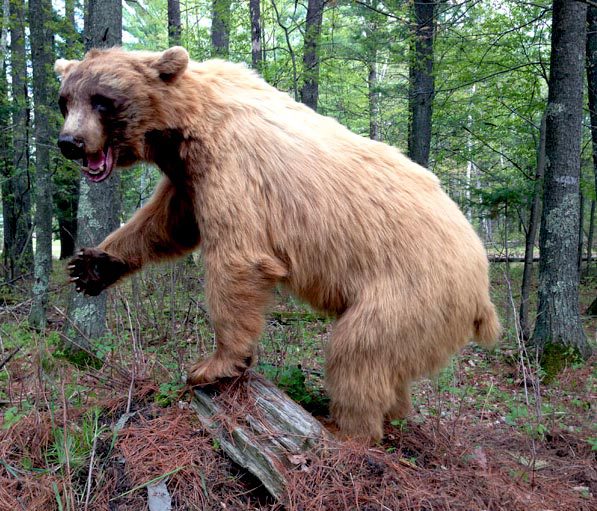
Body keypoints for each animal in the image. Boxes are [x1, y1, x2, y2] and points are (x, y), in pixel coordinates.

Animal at [54, 46, 498, 442]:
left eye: (102, 100)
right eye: (65, 100)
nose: (70, 142)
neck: (188, 123)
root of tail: (483, 291)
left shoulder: (232, 166)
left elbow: (236, 258)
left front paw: (215, 364)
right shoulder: (189, 175)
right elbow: (167, 223)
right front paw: (92, 264)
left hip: (409, 291)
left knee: (358, 353)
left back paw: (344, 428)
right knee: (391, 371)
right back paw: (393, 415)